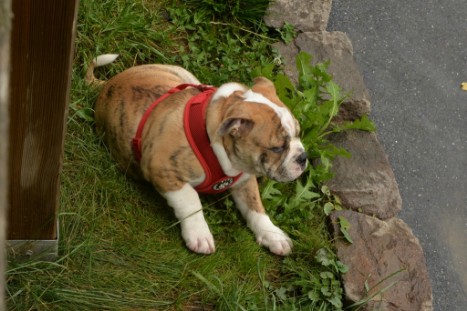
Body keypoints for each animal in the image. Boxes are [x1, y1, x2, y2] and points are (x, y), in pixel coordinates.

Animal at [88, 54, 308, 258]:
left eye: (299, 133)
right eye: (278, 148)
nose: (303, 157)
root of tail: (110, 82)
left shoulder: (245, 179)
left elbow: (255, 206)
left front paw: (273, 235)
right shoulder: (161, 168)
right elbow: (190, 200)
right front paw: (199, 234)